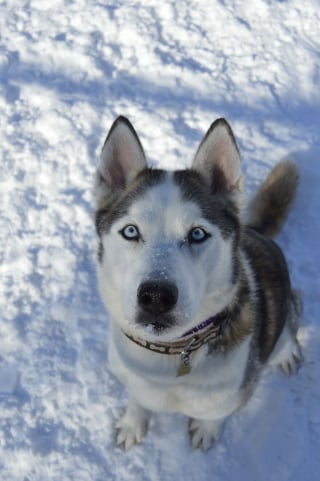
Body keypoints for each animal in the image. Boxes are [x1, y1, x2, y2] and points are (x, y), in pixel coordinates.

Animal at [94, 116, 302, 450]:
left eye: (197, 234)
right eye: (130, 231)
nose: (156, 296)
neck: (168, 355)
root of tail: (258, 232)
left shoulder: (234, 394)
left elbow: (215, 415)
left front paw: (206, 430)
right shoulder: (133, 378)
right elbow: (137, 399)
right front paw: (133, 422)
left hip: (282, 321)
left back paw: (289, 353)